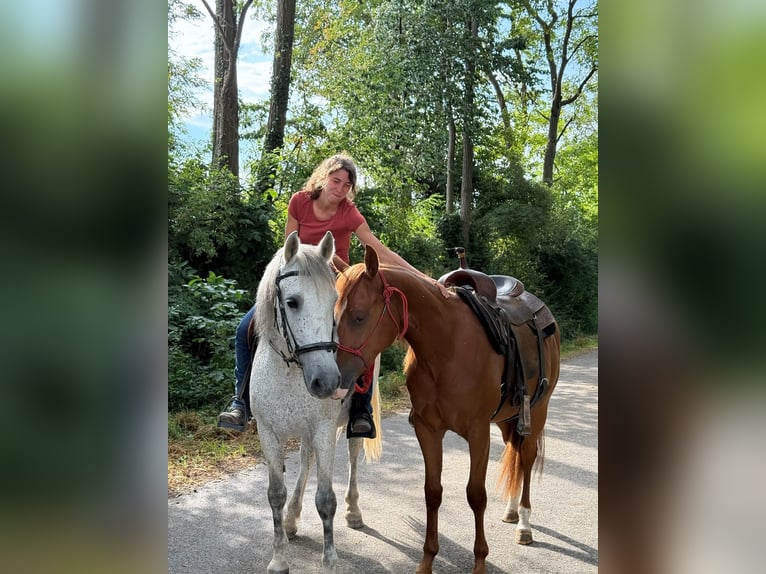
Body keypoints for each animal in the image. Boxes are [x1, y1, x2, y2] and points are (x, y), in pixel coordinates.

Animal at [249, 231, 381, 574]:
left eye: (334, 302)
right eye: (292, 302)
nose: (327, 381)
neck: (288, 373)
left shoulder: (323, 430)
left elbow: (326, 499)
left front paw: (330, 560)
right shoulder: (269, 434)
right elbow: (275, 494)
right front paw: (279, 557)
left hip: (345, 426)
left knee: (352, 456)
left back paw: (354, 512)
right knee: (306, 459)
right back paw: (292, 518)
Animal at [334, 245, 560, 574]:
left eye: (360, 316)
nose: (333, 376)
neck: (448, 346)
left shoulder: (478, 434)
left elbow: (476, 495)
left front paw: (479, 562)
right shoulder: (428, 430)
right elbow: (432, 492)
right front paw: (427, 560)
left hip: (537, 413)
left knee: (527, 459)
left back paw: (524, 523)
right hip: (508, 418)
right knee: (514, 452)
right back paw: (511, 510)